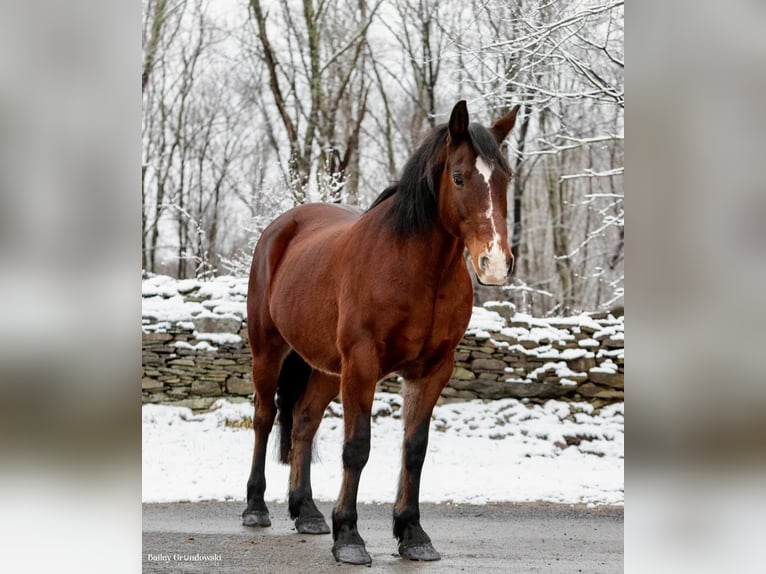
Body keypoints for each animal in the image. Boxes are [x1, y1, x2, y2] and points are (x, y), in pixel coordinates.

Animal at [246, 100, 520, 568]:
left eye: (505, 178)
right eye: (459, 176)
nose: (495, 263)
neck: (413, 269)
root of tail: (280, 228)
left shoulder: (432, 370)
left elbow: (415, 449)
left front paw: (412, 534)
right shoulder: (363, 364)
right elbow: (357, 446)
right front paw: (349, 537)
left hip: (326, 368)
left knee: (303, 424)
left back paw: (307, 512)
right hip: (268, 350)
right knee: (264, 419)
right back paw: (256, 507)